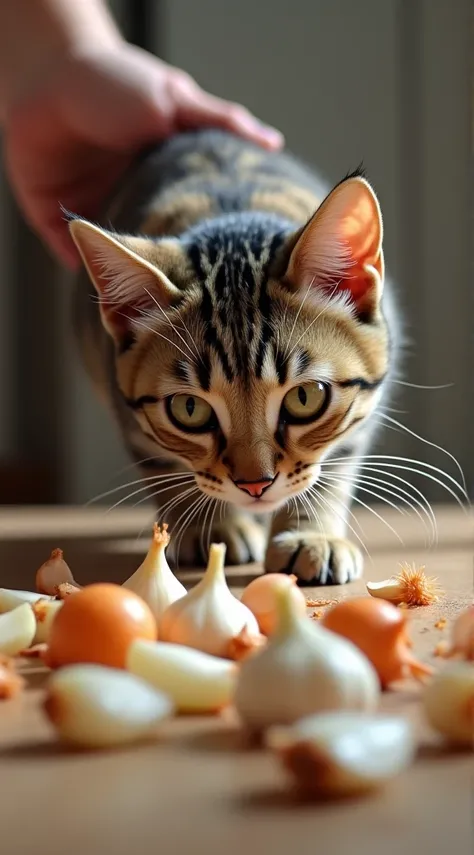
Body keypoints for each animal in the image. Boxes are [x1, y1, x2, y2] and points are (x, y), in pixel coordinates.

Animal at [69, 127, 400, 584]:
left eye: (305, 398)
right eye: (189, 409)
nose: (255, 485)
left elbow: (334, 463)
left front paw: (310, 535)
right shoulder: (130, 417)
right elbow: (166, 470)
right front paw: (209, 527)